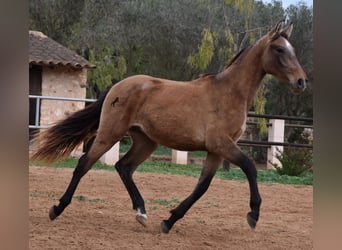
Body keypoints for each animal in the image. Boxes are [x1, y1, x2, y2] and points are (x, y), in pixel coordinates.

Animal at [30, 21, 308, 234]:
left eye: (292, 49)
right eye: (279, 49)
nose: (301, 82)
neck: (229, 92)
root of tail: (118, 86)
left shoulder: (215, 151)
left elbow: (202, 187)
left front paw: (169, 221)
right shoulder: (222, 144)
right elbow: (250, 167)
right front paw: (253, 215)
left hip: (146, 141)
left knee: (123, 167)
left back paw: (142, 213)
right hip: (110, 133)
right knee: (84, 163)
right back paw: (57, 209)